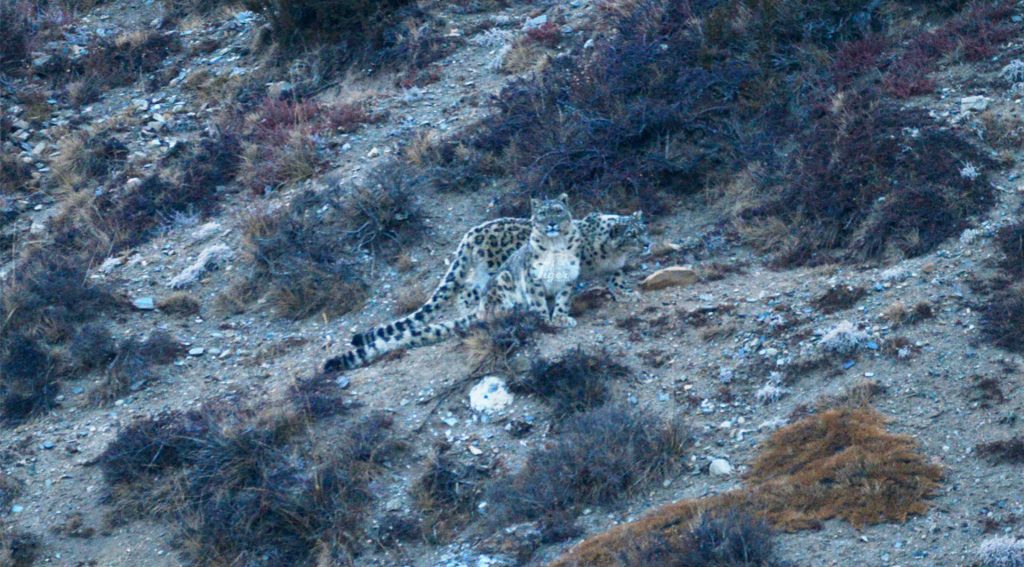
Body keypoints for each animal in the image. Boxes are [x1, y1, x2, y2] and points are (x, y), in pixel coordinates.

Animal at [324, 196, 582, 372]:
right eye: (544, 214)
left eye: (558, 212)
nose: (551, 224)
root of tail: (472, 232)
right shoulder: (533, 279)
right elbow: (540, 301)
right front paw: (546, 319)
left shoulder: (568, 277)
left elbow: (562, 298)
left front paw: (561, 317)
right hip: (493, 275)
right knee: (474, 298)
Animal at [348, 207, 650, 350]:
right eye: (633, 234)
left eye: (644, 229)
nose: (648, 243)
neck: (610, 254)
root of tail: (472, 233)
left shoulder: (614, 268)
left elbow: (617, 278)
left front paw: (627, 292)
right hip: (492, 272)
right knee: (468, 293)